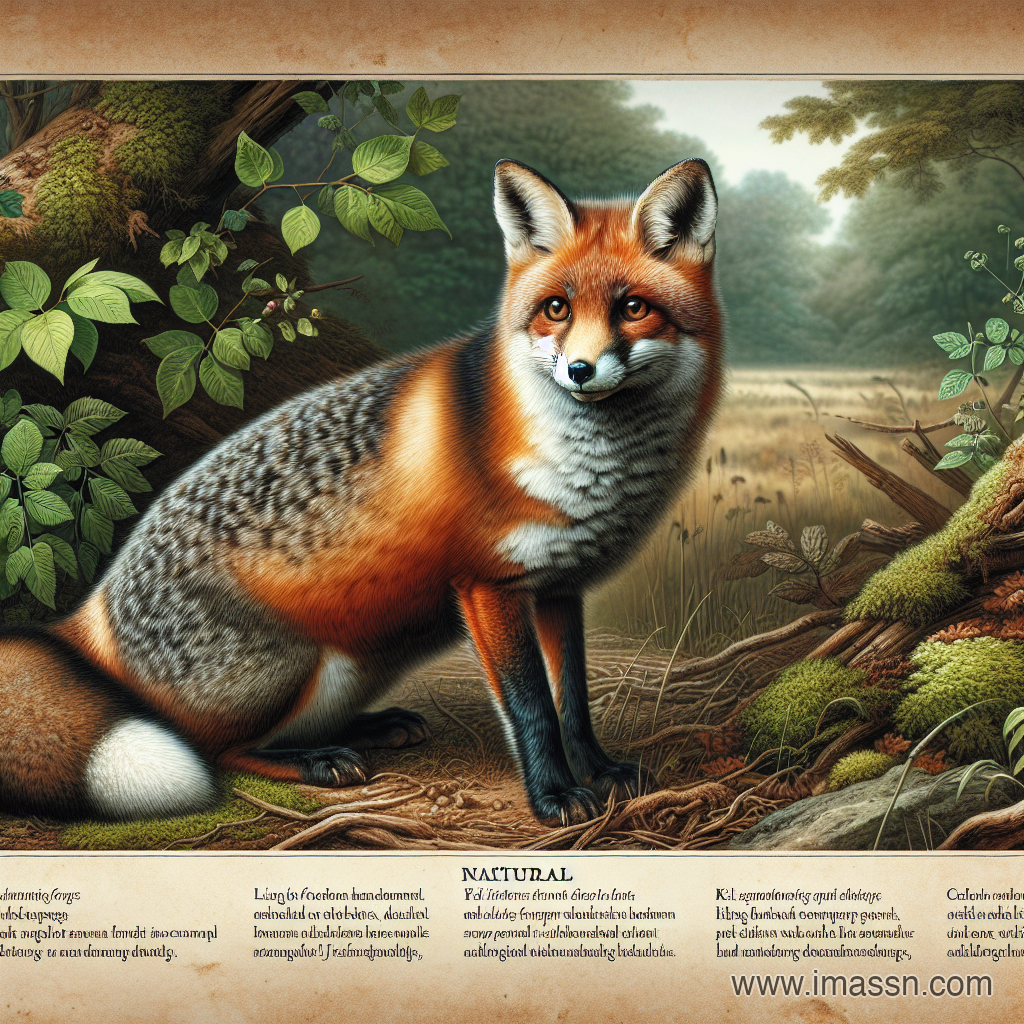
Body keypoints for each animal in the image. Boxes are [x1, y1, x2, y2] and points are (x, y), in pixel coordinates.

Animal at [0, 157, 723, 827]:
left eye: (633, 308)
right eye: (557, 310)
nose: (579, 369)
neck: (592, 469)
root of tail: (90, 613)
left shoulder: (559, 587)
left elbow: (573, 702)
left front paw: (599, 771)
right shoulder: (490, 586)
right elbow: (533, 710)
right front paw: (553, 797)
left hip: (350, 668)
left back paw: (370, 728)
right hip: (290, 667)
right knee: (215, 754)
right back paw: (315, 762)